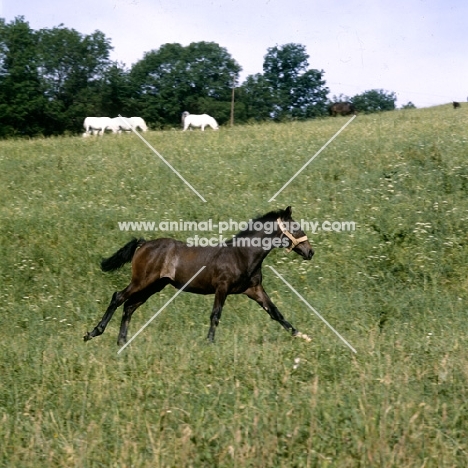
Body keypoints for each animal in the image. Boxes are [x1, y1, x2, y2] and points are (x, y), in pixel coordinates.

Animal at [85, 207, 314, 346]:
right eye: (296, 227)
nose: (310, 252)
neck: (242, 254)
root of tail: (144, 244)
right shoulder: (222, 287)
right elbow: (215, 315)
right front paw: (210, 343)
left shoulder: (254, 289)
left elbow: (275, 312)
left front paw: (302, 336)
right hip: (142, 281)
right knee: (118, 298)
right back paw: (93, 333)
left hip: (154, 286)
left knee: (129, 306)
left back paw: (122, 342)